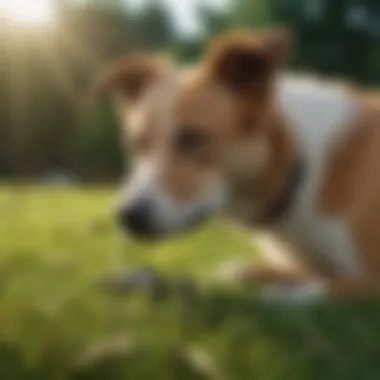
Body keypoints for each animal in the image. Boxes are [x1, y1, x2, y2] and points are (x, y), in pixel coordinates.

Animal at [95, 29, 380, 302]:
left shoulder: (368, 278)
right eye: (136, 143)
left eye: (192, 138)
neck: (301, 171)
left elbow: (303, 291)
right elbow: (238, 271)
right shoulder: (293, 265)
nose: (128, 217)